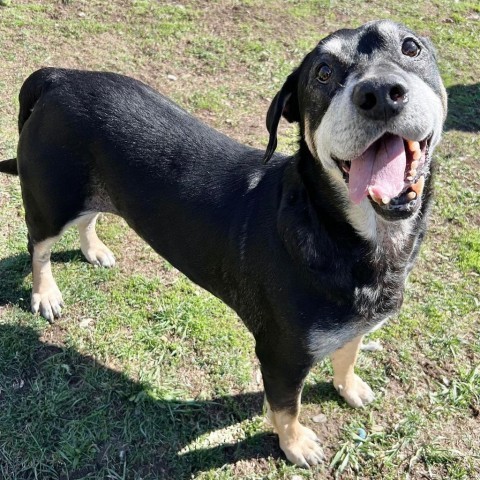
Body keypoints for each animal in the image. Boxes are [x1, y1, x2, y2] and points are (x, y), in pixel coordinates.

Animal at [0, 20, 446, 466]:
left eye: (411, 48)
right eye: (323, 72)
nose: (381, 93)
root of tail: (59, 77)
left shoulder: (357, 325)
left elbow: (348, 354)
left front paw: (350, 388)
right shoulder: (281, 355)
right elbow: (287, 407)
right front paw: (296, 444)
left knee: (88, 216)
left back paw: (94, 250)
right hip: (51, 199)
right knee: (38, 246)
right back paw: (45, 294)